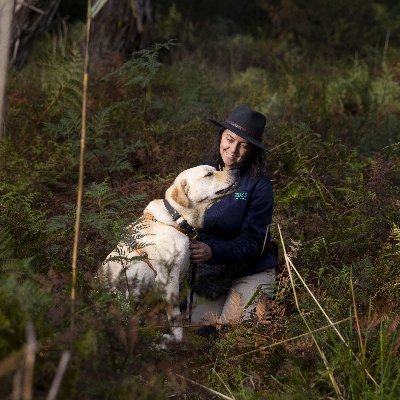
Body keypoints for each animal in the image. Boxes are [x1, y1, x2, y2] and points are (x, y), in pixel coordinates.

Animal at [99, 165, 239, 344]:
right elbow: (175, 320)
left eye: (215, 169)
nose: (237, 171)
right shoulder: (169, 281)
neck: (176, 220)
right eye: (209, 174)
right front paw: (176, 339)